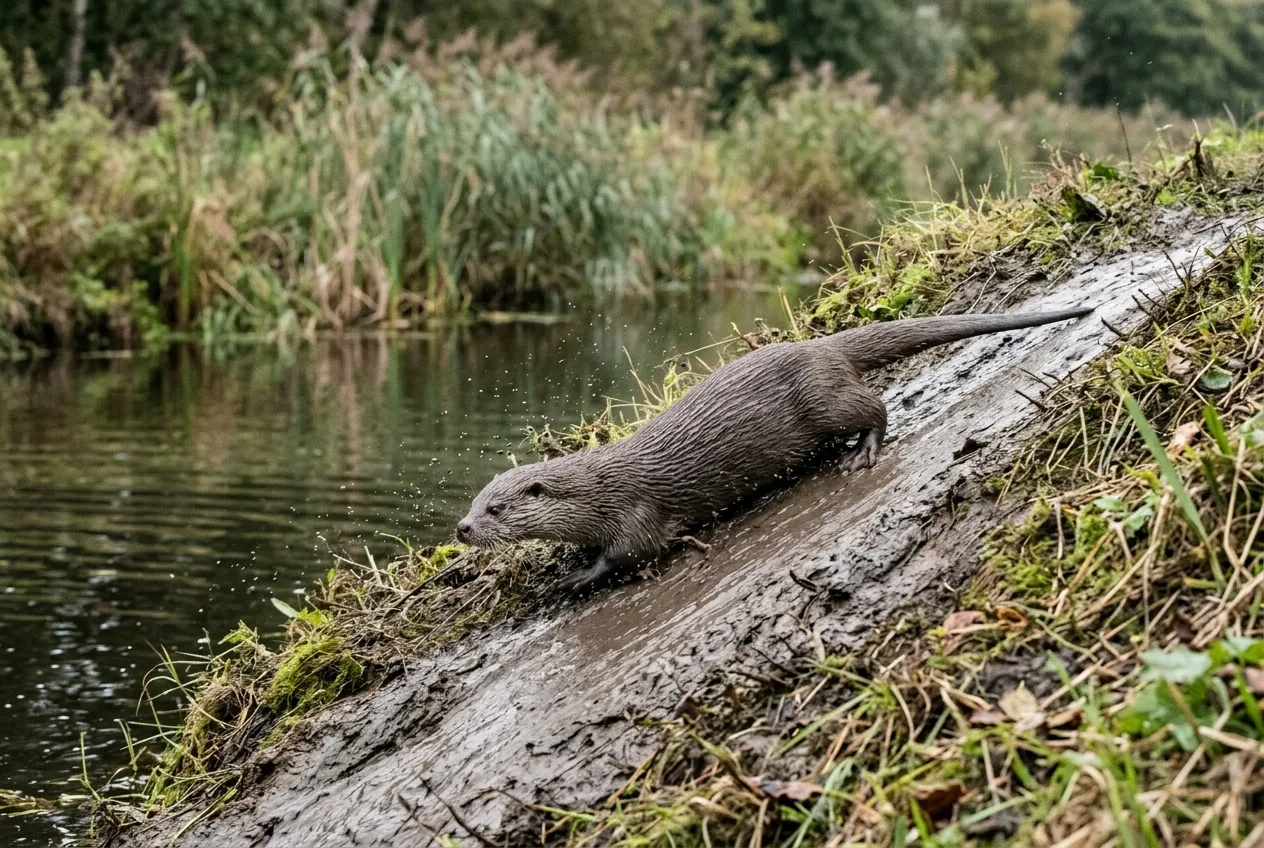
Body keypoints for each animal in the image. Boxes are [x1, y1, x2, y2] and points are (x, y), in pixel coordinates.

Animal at [457, 307, 1091, 592]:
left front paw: (570, 579)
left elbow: (630, 554)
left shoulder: (635, 513)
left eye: (496, 508)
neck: (598, 489)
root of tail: (821, 346)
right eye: (472, 502)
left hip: (825, 399)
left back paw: (863, 451)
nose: (462, 529)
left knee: (875, 407)